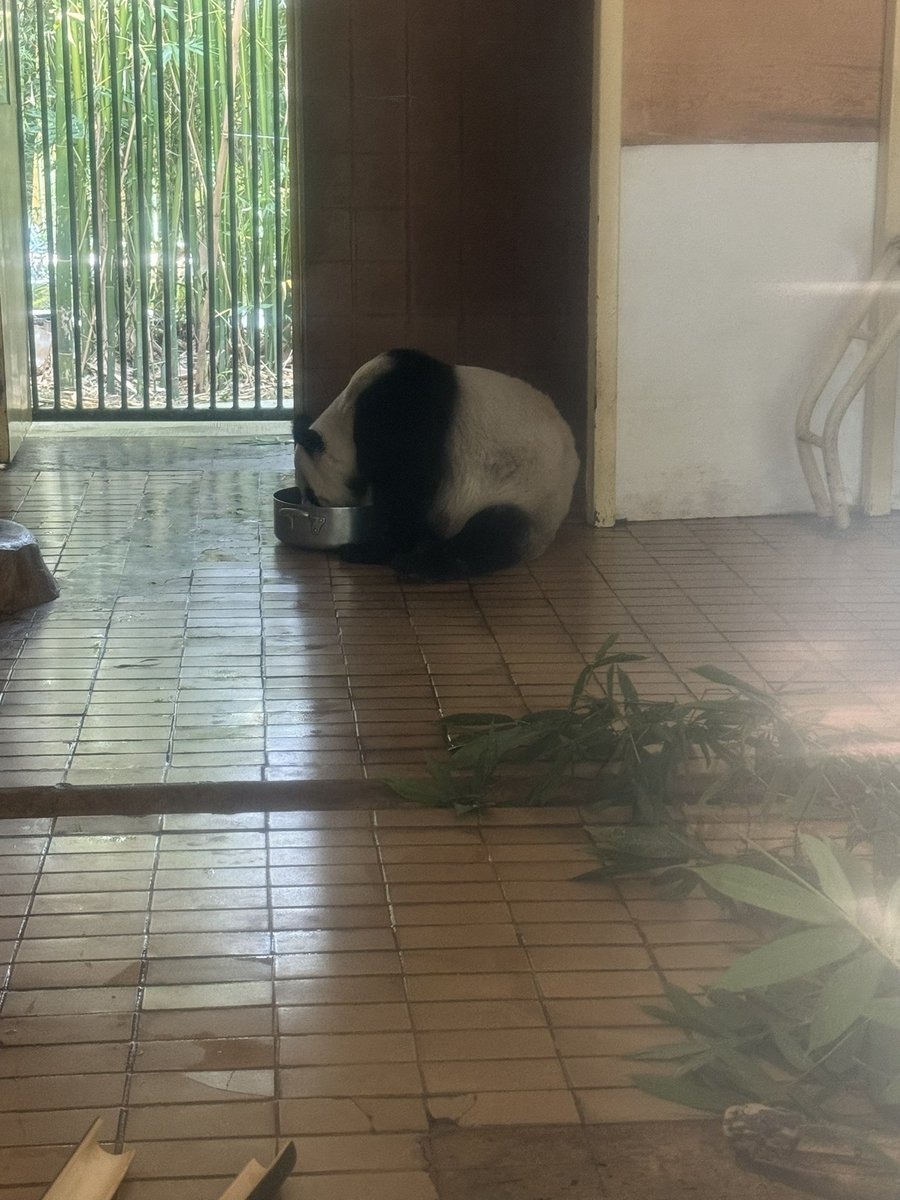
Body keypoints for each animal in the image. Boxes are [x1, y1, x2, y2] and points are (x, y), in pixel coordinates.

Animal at [292, 348, 580, 582]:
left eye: (312, 496)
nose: (309, 509)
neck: (349, 412)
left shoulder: (399, 411)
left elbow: (406, 488)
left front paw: (366, 549)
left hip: (526, 492)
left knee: (494, 533)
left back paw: (420, 565)